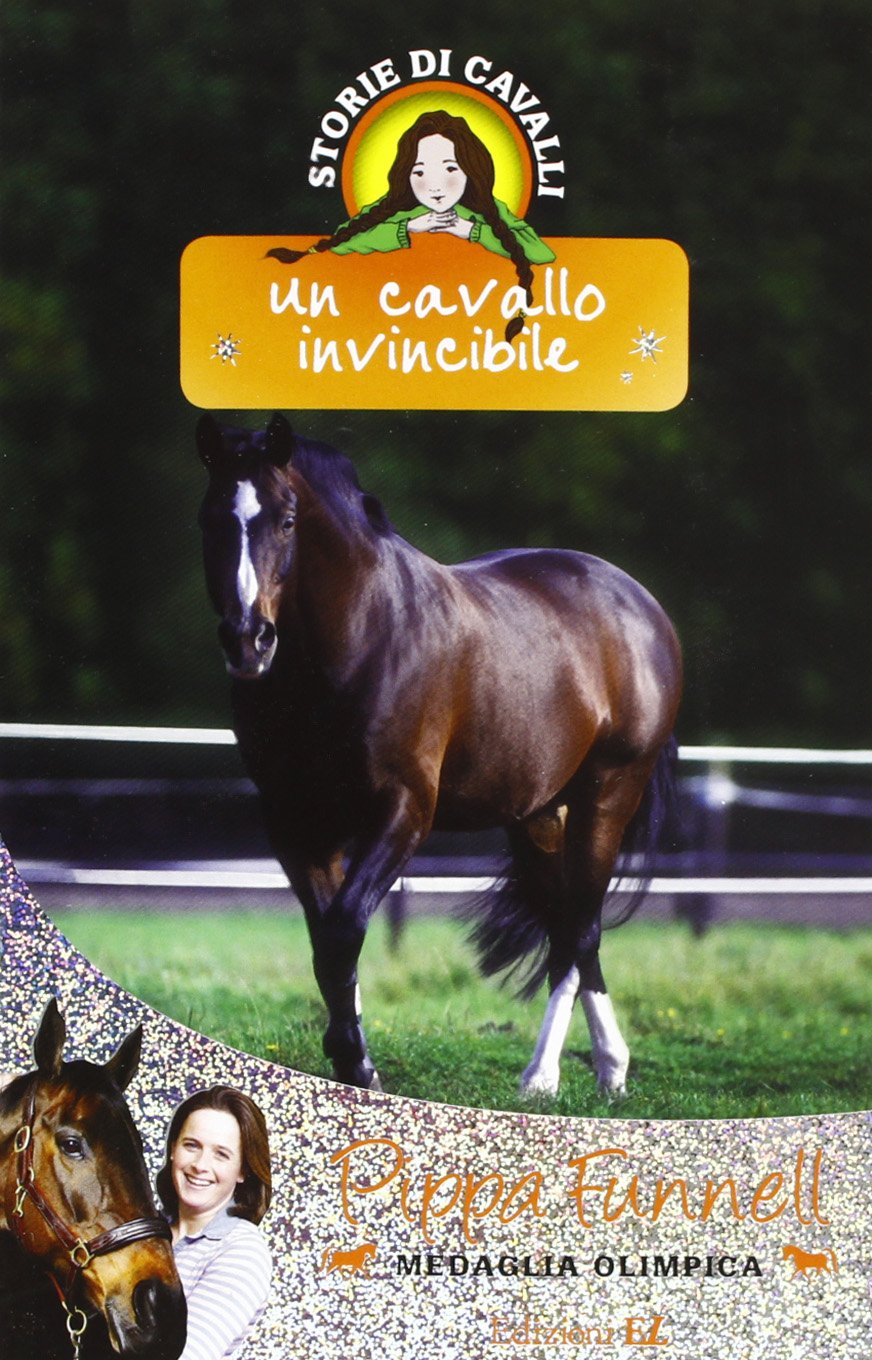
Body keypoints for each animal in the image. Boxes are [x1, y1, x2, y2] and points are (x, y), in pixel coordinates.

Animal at [195, 413, 682, 1099]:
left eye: (288, 519)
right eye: (210, 518)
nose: (248, 640)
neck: (360, 641)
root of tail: (641, 607)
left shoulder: (403, 811)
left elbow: (343, 931)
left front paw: (357, 1065)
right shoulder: (295, 820)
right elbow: (326, 940)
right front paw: (353, 1064)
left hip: (607, 795)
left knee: (580, 927)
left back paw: (545, 1075)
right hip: (538, 815)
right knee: (568, 927)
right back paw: (610, 1068)